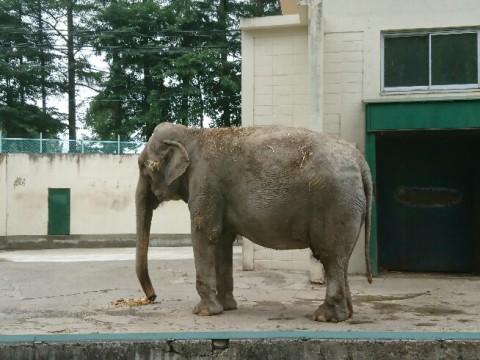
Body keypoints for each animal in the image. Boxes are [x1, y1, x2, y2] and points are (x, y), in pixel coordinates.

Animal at [136, 122, 376, 322]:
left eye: (142, 167)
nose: (152, 297)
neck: (191, 133)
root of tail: (361, 162)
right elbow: (222, 240)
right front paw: (227, 307)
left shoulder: (205, 183)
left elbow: (204, 234)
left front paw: (204, 312)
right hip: (348, 206)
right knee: (341, 258)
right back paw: (345, 315)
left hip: (337, 204)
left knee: (330, 256)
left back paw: (324, 316)